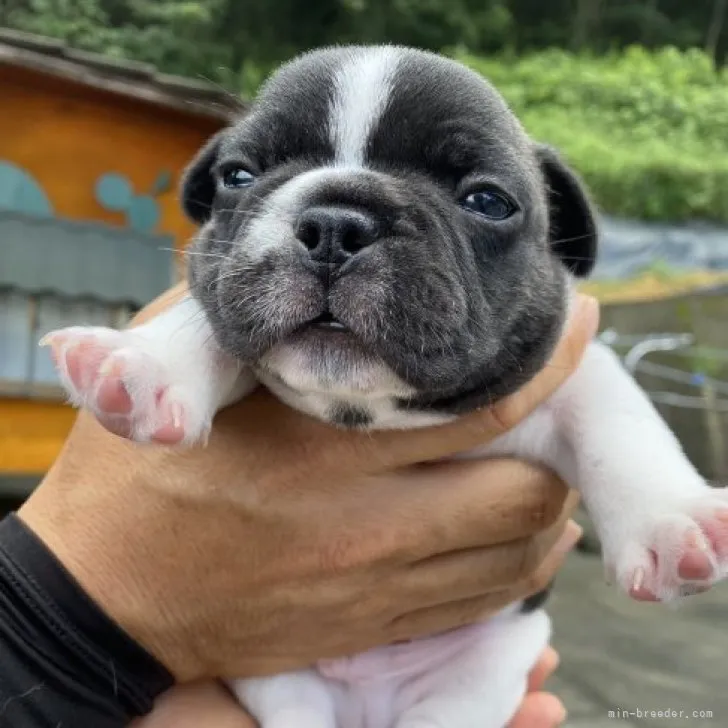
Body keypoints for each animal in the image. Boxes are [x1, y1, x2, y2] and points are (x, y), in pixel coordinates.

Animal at [42, 47, 728, 728]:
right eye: (237, 176)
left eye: (488, 200)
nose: (334, 223)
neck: (369, 410)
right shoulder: (227, 285)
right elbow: (206, 314)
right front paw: (139, 364)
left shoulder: (574, 362)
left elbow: (617, 418)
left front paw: (673, 525)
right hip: (274, 671)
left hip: (481, 671)